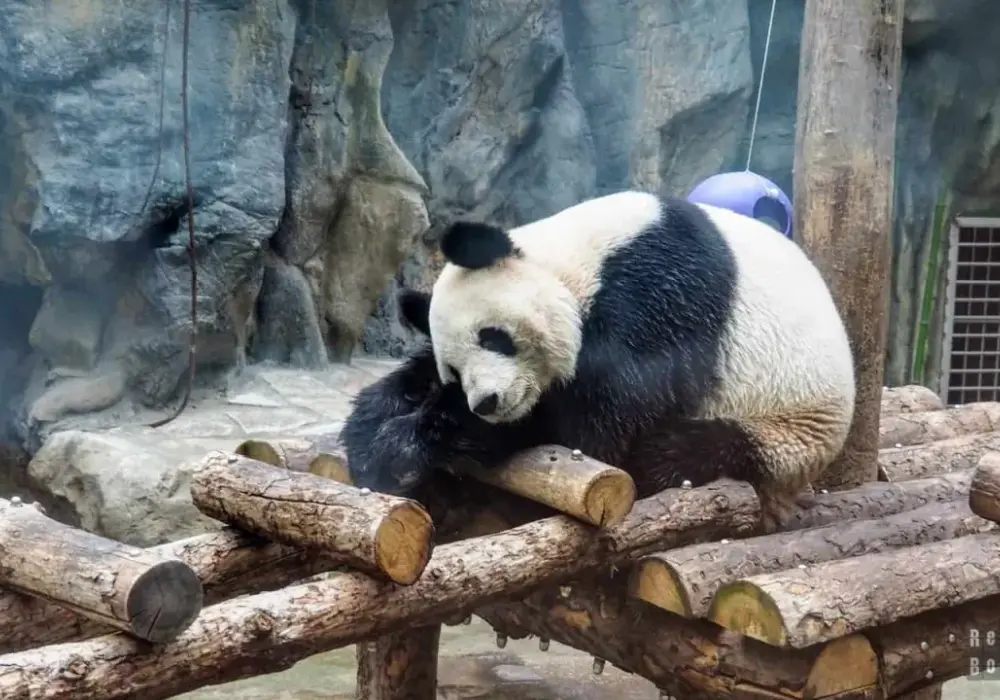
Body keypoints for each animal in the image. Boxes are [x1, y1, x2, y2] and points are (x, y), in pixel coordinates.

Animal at [341, 190, 856, 532]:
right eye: (454, 371)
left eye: (494, 337)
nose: (487, 402)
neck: (581, 263)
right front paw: (376, 425)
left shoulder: (658, 297)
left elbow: (595, 431)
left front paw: (415, 440)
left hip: (785, 433)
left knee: (679, 452)